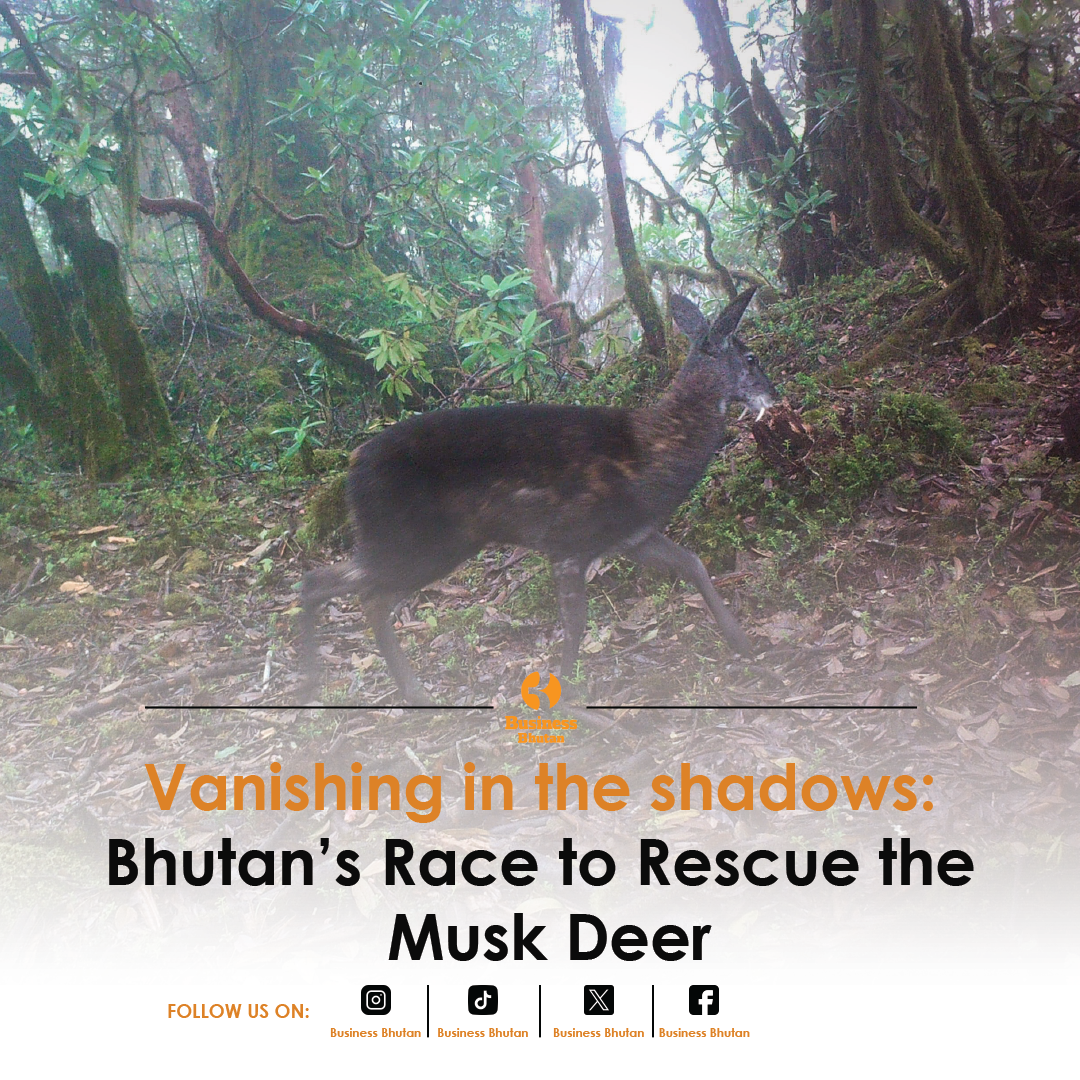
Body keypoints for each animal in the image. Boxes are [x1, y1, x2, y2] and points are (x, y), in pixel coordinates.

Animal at [299, 289, 776, 704]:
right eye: (751, 357)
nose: (775, 392)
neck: (654, 451)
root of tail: (352, 467)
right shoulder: (571, 536)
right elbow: (576, 622)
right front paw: (568, 700)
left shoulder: (630, 535)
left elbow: (693, 563)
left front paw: (744, 643)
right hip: (419, 539)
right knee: (357, 593)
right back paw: (372, 687)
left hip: (410, 540)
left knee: (329, 583)